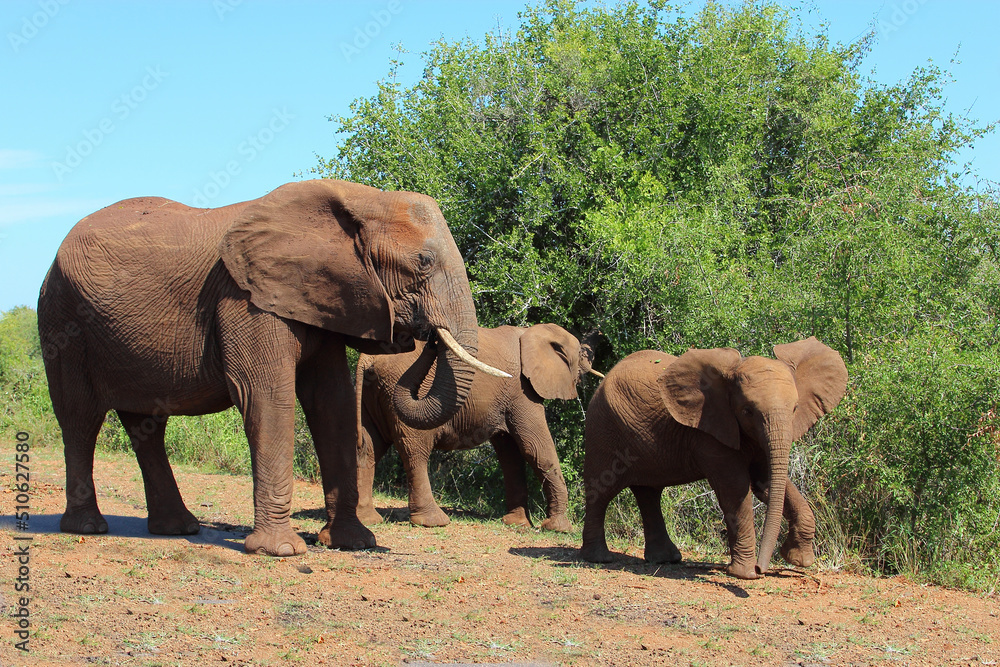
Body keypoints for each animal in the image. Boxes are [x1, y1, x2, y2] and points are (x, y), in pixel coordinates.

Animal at [37, 179, 509, 557]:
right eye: (423, 262)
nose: (426, 333)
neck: (360, 197)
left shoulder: (320, 297)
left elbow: (331, 404)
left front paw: (353, 543)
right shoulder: (247, 299)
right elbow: (267, 397)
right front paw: (281, 551)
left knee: (145, 427)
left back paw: (178, 528)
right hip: (62, 320)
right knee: (79, 418)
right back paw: (88, 528)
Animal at [355, 324, 601, 531]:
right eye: (579, 356)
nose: (433, 338)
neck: (531, 332)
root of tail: (367, 359)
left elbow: (510, 454)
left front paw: (516, 524)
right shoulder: (522, 391)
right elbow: (535, 447)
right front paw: (558, 528)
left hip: (371, 394)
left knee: (369, 448)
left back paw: (368, 519)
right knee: (415, 451)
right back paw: (434, 522)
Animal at [579, 337, 847, 579]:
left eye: (794, 409)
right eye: (747, 411)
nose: (762, 568)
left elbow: (767, 484)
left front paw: (800, 560)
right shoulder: (709, 429)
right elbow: (735, 488)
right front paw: (745, 574)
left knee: (649, 493)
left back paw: (666, 559)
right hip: (603, 428)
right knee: (602, 490)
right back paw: (599, 558)